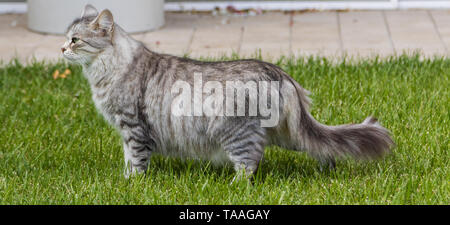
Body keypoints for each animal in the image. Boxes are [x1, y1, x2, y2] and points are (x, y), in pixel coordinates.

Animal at [61, 4, 392, 180]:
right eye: (66, 38)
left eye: (75, 40)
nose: (61, 48)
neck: (107, 69)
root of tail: (278, 72)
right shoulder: (128, 131)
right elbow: (129, 160)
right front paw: (127, 180)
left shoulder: (133, 127)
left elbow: (136, 161)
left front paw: (132, 184)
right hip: (286, 134)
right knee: (322, 146)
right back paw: (329, 169)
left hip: (237, 133)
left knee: (249, 163)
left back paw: (235, 186)